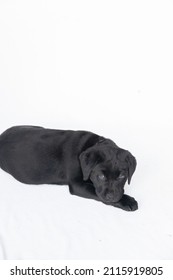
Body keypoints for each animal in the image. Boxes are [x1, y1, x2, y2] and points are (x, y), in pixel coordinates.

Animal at [0, 126, 138, 211]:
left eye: (122, 176)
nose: (111, 196)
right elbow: (96, 193)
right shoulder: (77, 185)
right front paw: (127, 201)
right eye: (101, 176)